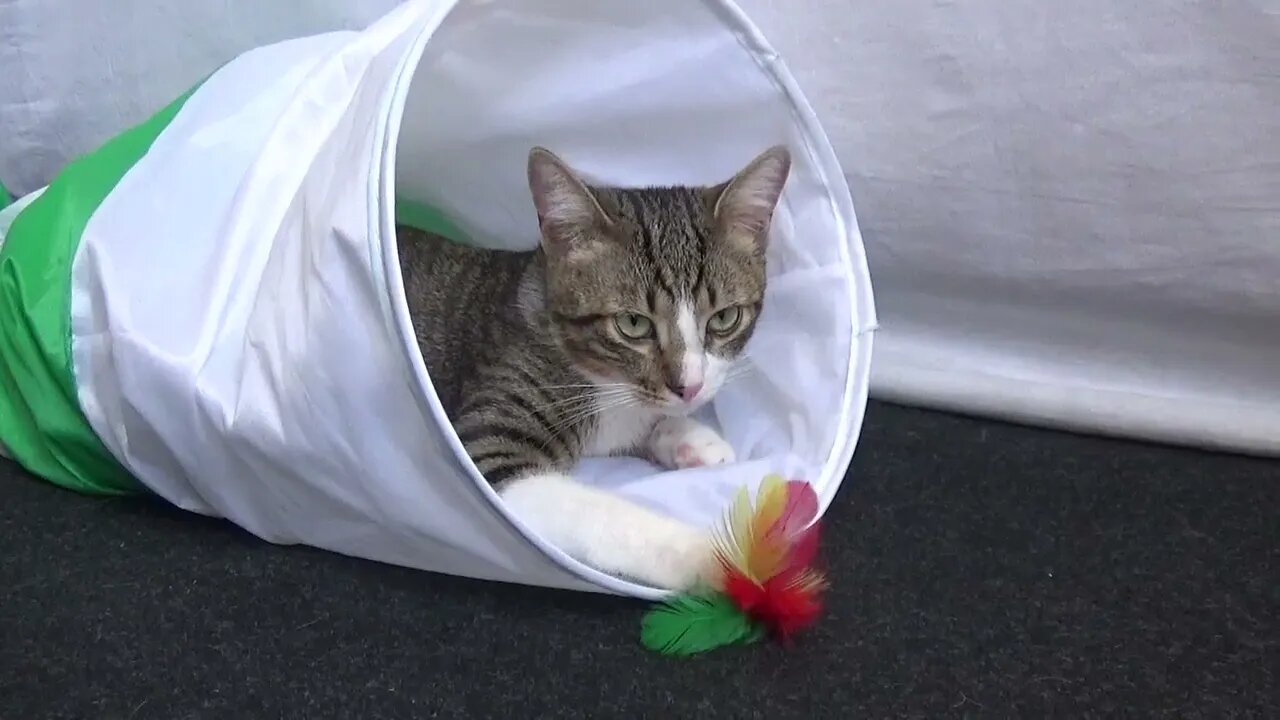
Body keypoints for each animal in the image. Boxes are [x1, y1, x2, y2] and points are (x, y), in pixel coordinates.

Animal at [399, 146, 783, 589]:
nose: (690, 387)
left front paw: (692, 439)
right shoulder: (490, 442)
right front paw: (710, 554)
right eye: (633, 324)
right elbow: (600, 514)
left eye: (724, 318)